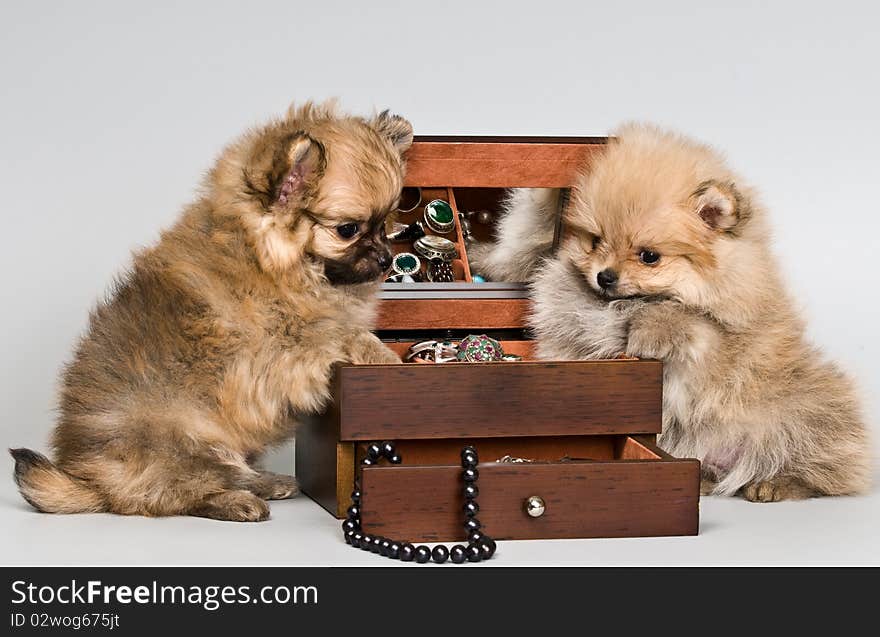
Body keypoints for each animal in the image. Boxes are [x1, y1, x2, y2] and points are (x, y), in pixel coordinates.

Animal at [11, 102, 410, 520]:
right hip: (183, 441)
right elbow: (343, 333)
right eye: (348, 229)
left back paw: (267, 482)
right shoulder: (291, 342)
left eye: (386, 225)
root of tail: (92, 482)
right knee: (178, 493)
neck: (264, 258)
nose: (387, 259)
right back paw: (238, 501)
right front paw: (384, 357)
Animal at [478, 124, 868, 500]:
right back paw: (710, 479)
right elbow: (529, 238)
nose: (605, 276)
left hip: (807, 414)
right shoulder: (529, 258)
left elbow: (693, 322)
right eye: (595, 241)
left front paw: (650, 328)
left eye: (649, 256)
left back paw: (774, 483)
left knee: (821, 469)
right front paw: (543, 195)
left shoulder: (726, 342)